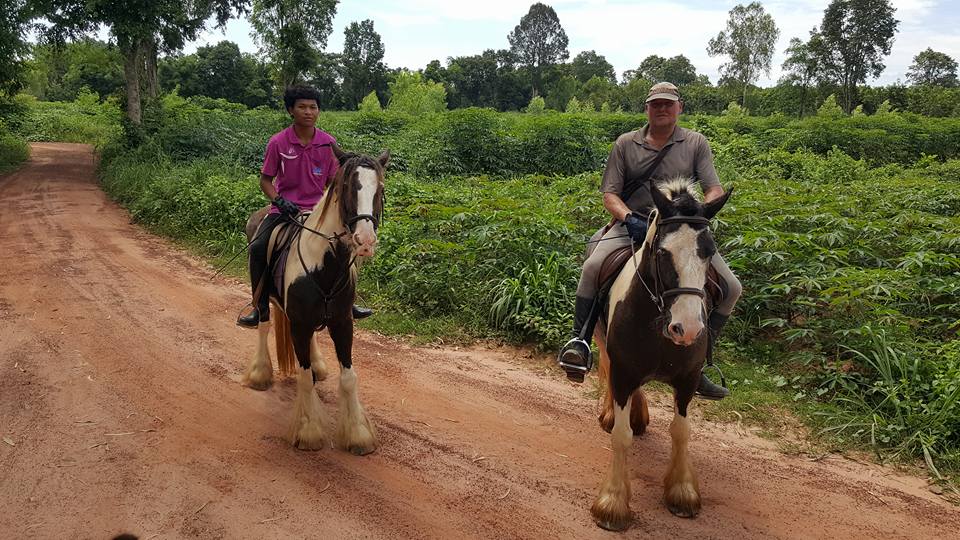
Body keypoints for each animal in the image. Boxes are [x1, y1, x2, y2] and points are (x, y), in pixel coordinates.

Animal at [242, 150, 389, 456]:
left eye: (379, 189)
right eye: (348, 187)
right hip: (262, 295)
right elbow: (304, 378)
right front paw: (308, 432)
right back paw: (260, 373)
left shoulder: (342, 323)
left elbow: (349, 378)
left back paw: (319, 365)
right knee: (263, 325)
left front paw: (357, 435)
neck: (324, 265)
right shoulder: (298, 324)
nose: (365, 240)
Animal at [589, 177, 732, 531]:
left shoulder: (688, 378)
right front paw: (612, 503)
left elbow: (681, 431)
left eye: (709, 252)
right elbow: (621, 436)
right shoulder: (624, 371)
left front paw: (682, 492)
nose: (688, 329)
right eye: (663, 253)